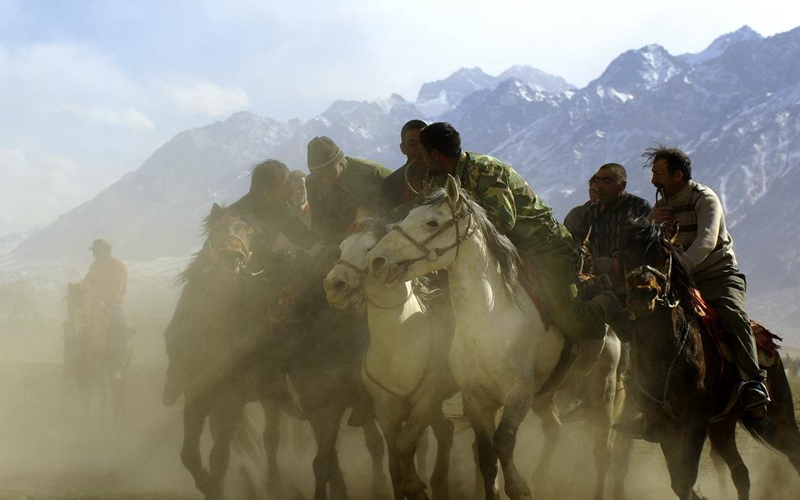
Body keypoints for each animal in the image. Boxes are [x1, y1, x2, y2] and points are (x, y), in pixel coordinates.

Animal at [320, 221, 456, 500]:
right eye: (341, 247)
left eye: (370, 248)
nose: (334, 284)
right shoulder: (385, 410)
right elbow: (395, 467)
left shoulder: (426, 402)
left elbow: (407, 445)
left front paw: (415, 486)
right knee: (446, 431)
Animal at [368, 180, 624, 500]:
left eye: (432, 222)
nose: (378, 259)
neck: (487, 321)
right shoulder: (477, 401)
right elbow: (487, 458)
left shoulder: (518, 395)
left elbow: (503, 443)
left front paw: (521, 488)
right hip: (545, 394)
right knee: (554, 428)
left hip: (602, 386)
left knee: (604, 449)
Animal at [624, 222, 800, 500]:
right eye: (625, 253)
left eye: (665, 255)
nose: (644, 295)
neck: (666, 350)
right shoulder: (663, 426)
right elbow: (678, 480)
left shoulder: (695, 421)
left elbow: (686, 478)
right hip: (722, 427)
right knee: (741, 472)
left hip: (778, 417)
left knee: (794, 451)